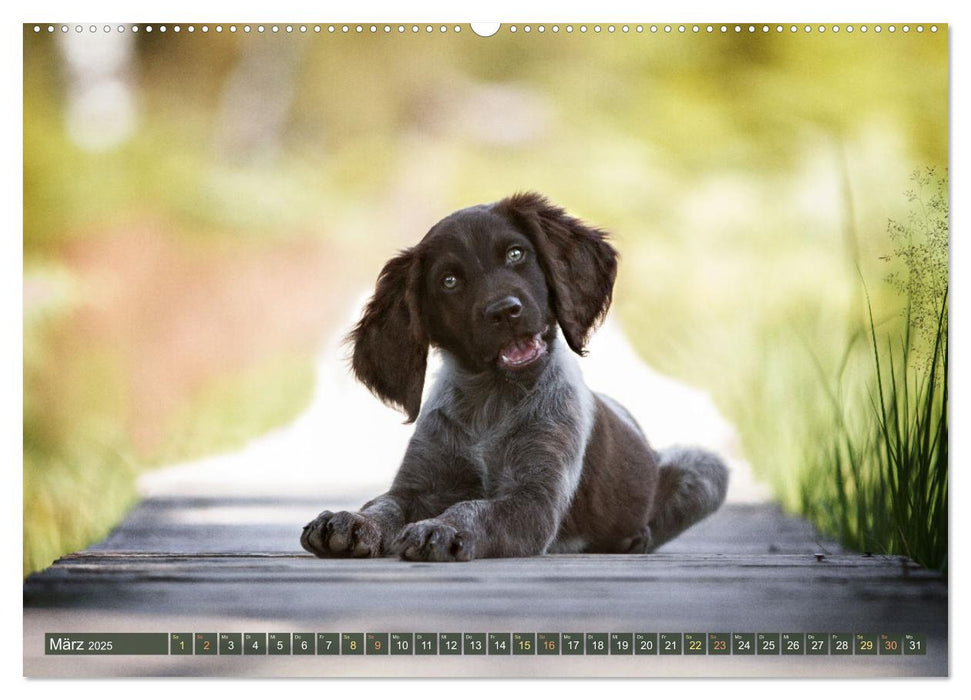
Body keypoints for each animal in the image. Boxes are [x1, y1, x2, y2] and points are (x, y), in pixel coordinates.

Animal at [300, 193, 724, 564]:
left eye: (516, 254)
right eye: (449, 281)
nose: (505, 311)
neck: (492, 399)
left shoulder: (534, 501)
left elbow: (474, 509)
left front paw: (441, 529)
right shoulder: (416, 486)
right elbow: (383, 504)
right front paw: (353, 522)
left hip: (703, 466)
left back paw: (633, 539)